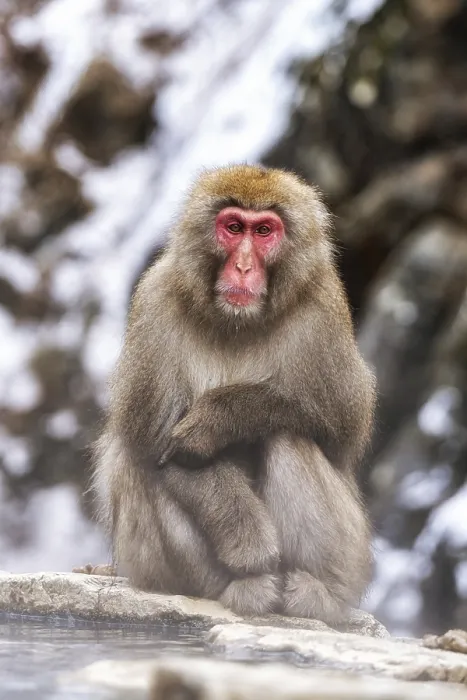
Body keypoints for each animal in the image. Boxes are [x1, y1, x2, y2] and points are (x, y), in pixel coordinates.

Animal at [92, 164, 375, 625]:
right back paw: (247, 585)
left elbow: (342, 424)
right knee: (133, 461)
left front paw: (218, 418)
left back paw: (319, 595)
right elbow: (154, 444)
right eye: (233, 227)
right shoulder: (155, 301)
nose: (242, 267)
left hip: (353, 553)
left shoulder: (324, 308)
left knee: (287, 434)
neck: (238, 322)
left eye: (263, 231)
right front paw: (252, 548)